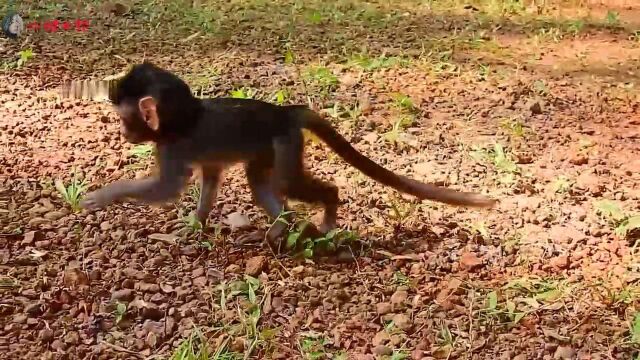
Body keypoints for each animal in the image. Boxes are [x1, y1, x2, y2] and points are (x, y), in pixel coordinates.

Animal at [80, 63, 498, 240]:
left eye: (125, 119)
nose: (123, 133)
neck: (182, 117)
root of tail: (285, 112)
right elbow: (211, 179)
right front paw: (195, 224)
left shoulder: (172, 147)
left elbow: (166, 189)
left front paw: (102, 195)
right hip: (272, 145)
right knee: (260, 181)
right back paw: (281, 227)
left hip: (285, 142)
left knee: (288, 184)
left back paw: (326, 209)